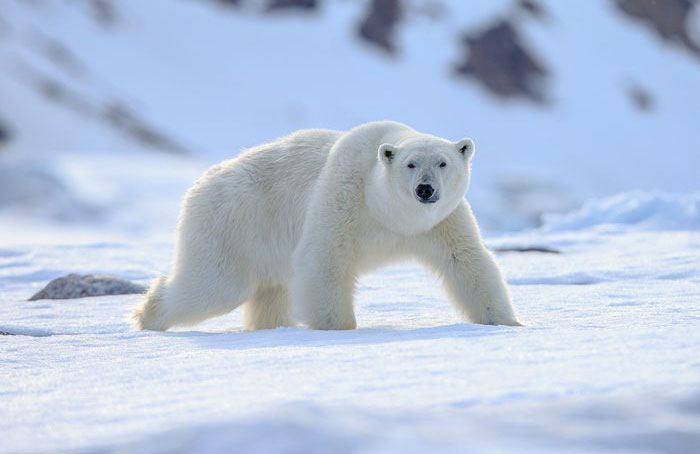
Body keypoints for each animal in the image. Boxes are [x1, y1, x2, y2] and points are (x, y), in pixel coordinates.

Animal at [132, 121, 521, 331]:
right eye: (411, 164)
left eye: (442, 163)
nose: (425, 189)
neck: (388, 213)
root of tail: (199, 185)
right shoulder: (344, 194)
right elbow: (325, 259)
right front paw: (339, 328)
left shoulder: (440, 222)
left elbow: (466, 261)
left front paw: (507, 322)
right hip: (231, 224)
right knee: (214, 285)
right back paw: (147, 315)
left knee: (269, 292)